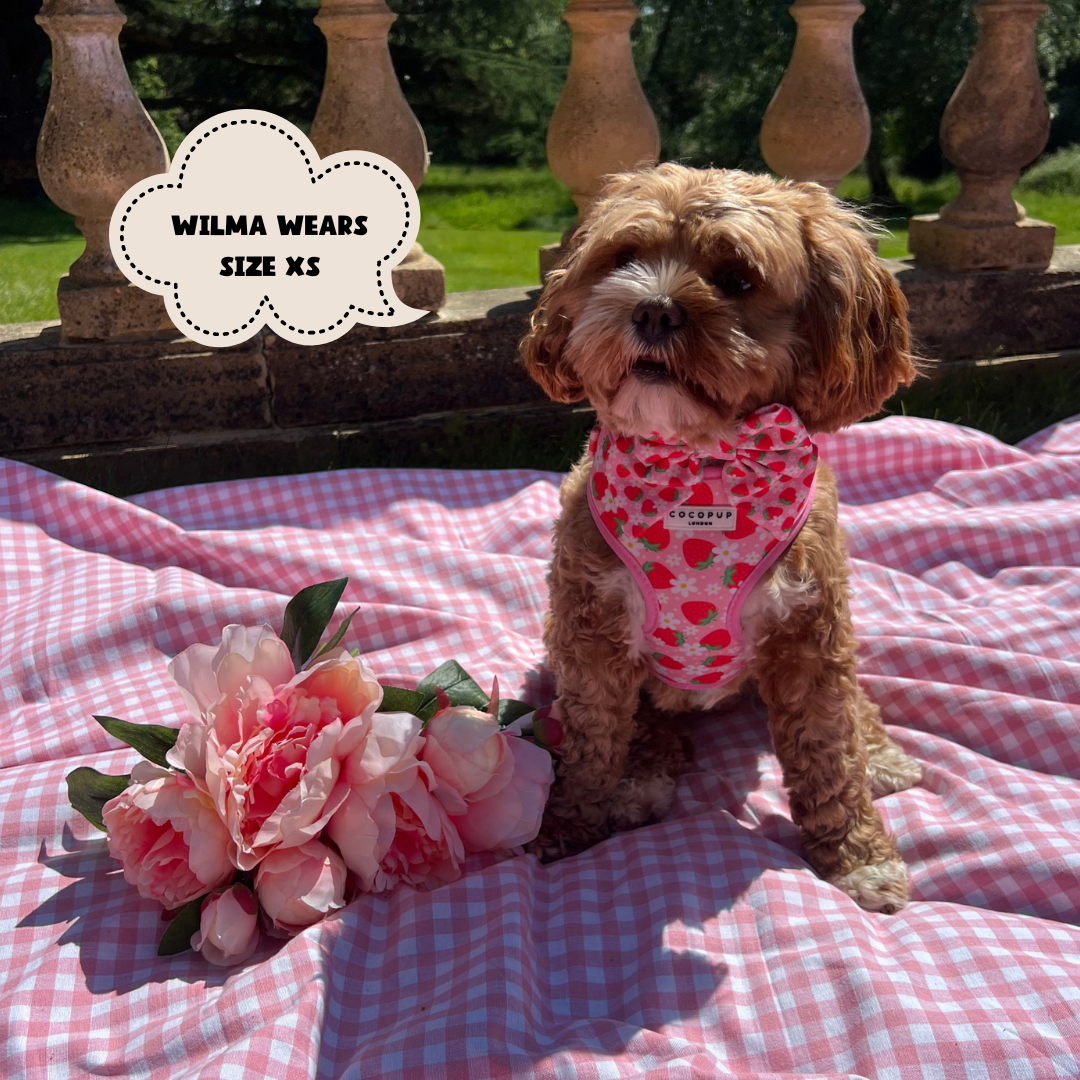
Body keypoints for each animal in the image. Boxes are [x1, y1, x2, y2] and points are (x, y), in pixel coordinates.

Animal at [520, 164, 920, 915]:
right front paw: (569, 822)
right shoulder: (590, 637)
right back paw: (644, 776)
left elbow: (830, 753)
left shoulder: (811, 636)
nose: (651, 311)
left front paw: (856, 856)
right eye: (623, 258)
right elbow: (591, 745)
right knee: (648, 729)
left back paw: (882, 753)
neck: (701, 468)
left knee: (858, 708)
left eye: (737, 277)